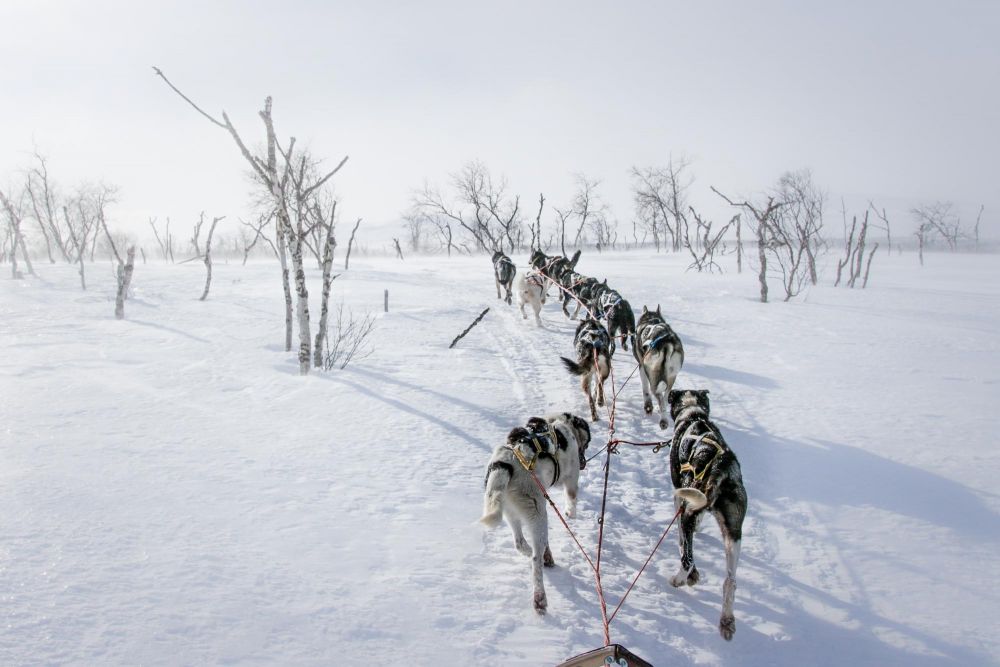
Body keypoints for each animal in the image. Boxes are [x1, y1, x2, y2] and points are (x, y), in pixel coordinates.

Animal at [480, 412, 588, 616]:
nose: (584, 462)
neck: (559, 425)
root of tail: (505, 463)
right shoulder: (571, 480)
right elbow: (572, 498)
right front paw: (571, 513)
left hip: (512, 511)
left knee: (521, 544)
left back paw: (539, 553)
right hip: (538, 512)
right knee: (536, 560)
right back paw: (540, 598)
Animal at [668, 392, 748, 640]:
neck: (694, 415)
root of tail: (722, 467)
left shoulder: (680, 498)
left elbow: (682, 542)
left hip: (688, 510)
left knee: (687, 560)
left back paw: (680, 579)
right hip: (734, 534)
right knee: (730, 581)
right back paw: (727, 621)